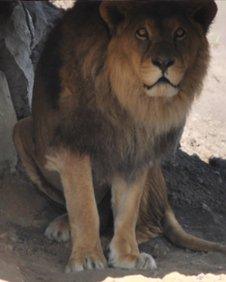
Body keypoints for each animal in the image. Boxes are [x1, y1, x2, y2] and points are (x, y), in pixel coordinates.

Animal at [13, 0, 225, 274]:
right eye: (142, 33)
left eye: (180, 33)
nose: (164, 61)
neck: (131, 101)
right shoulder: (72, 146)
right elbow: (84, 207)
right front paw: (87, 257)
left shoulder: (138, 154)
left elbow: (127, 210)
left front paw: (127, 256)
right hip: (21, 129)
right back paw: (65, 226)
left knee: (149, 225)